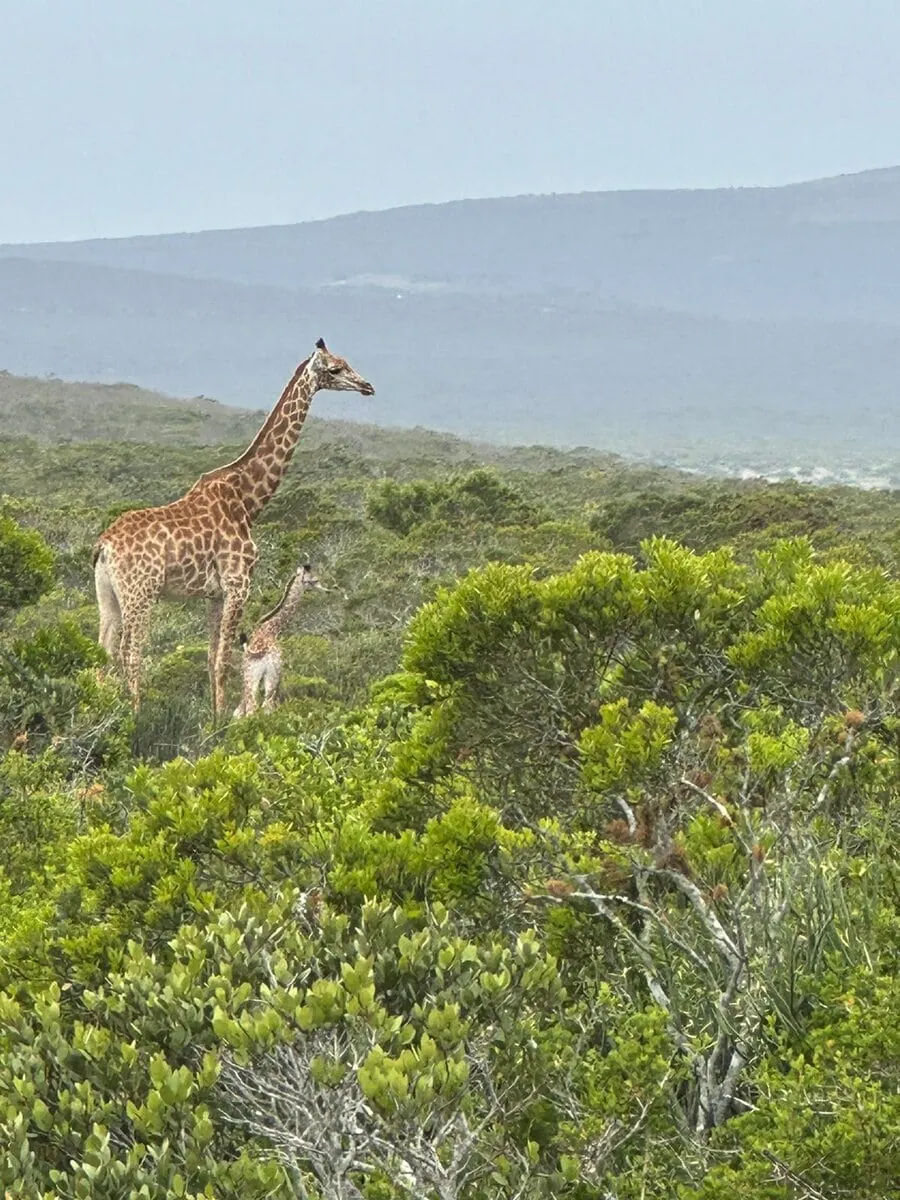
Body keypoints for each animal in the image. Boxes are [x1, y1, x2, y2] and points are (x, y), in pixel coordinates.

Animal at [233, 562, 324, 718]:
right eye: (314, 580)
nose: (325, 589)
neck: (271, 629)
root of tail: (258, 655)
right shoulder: (279, 672)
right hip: (271, 675)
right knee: (264, 706)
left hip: (250, 678)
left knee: (247, 708)